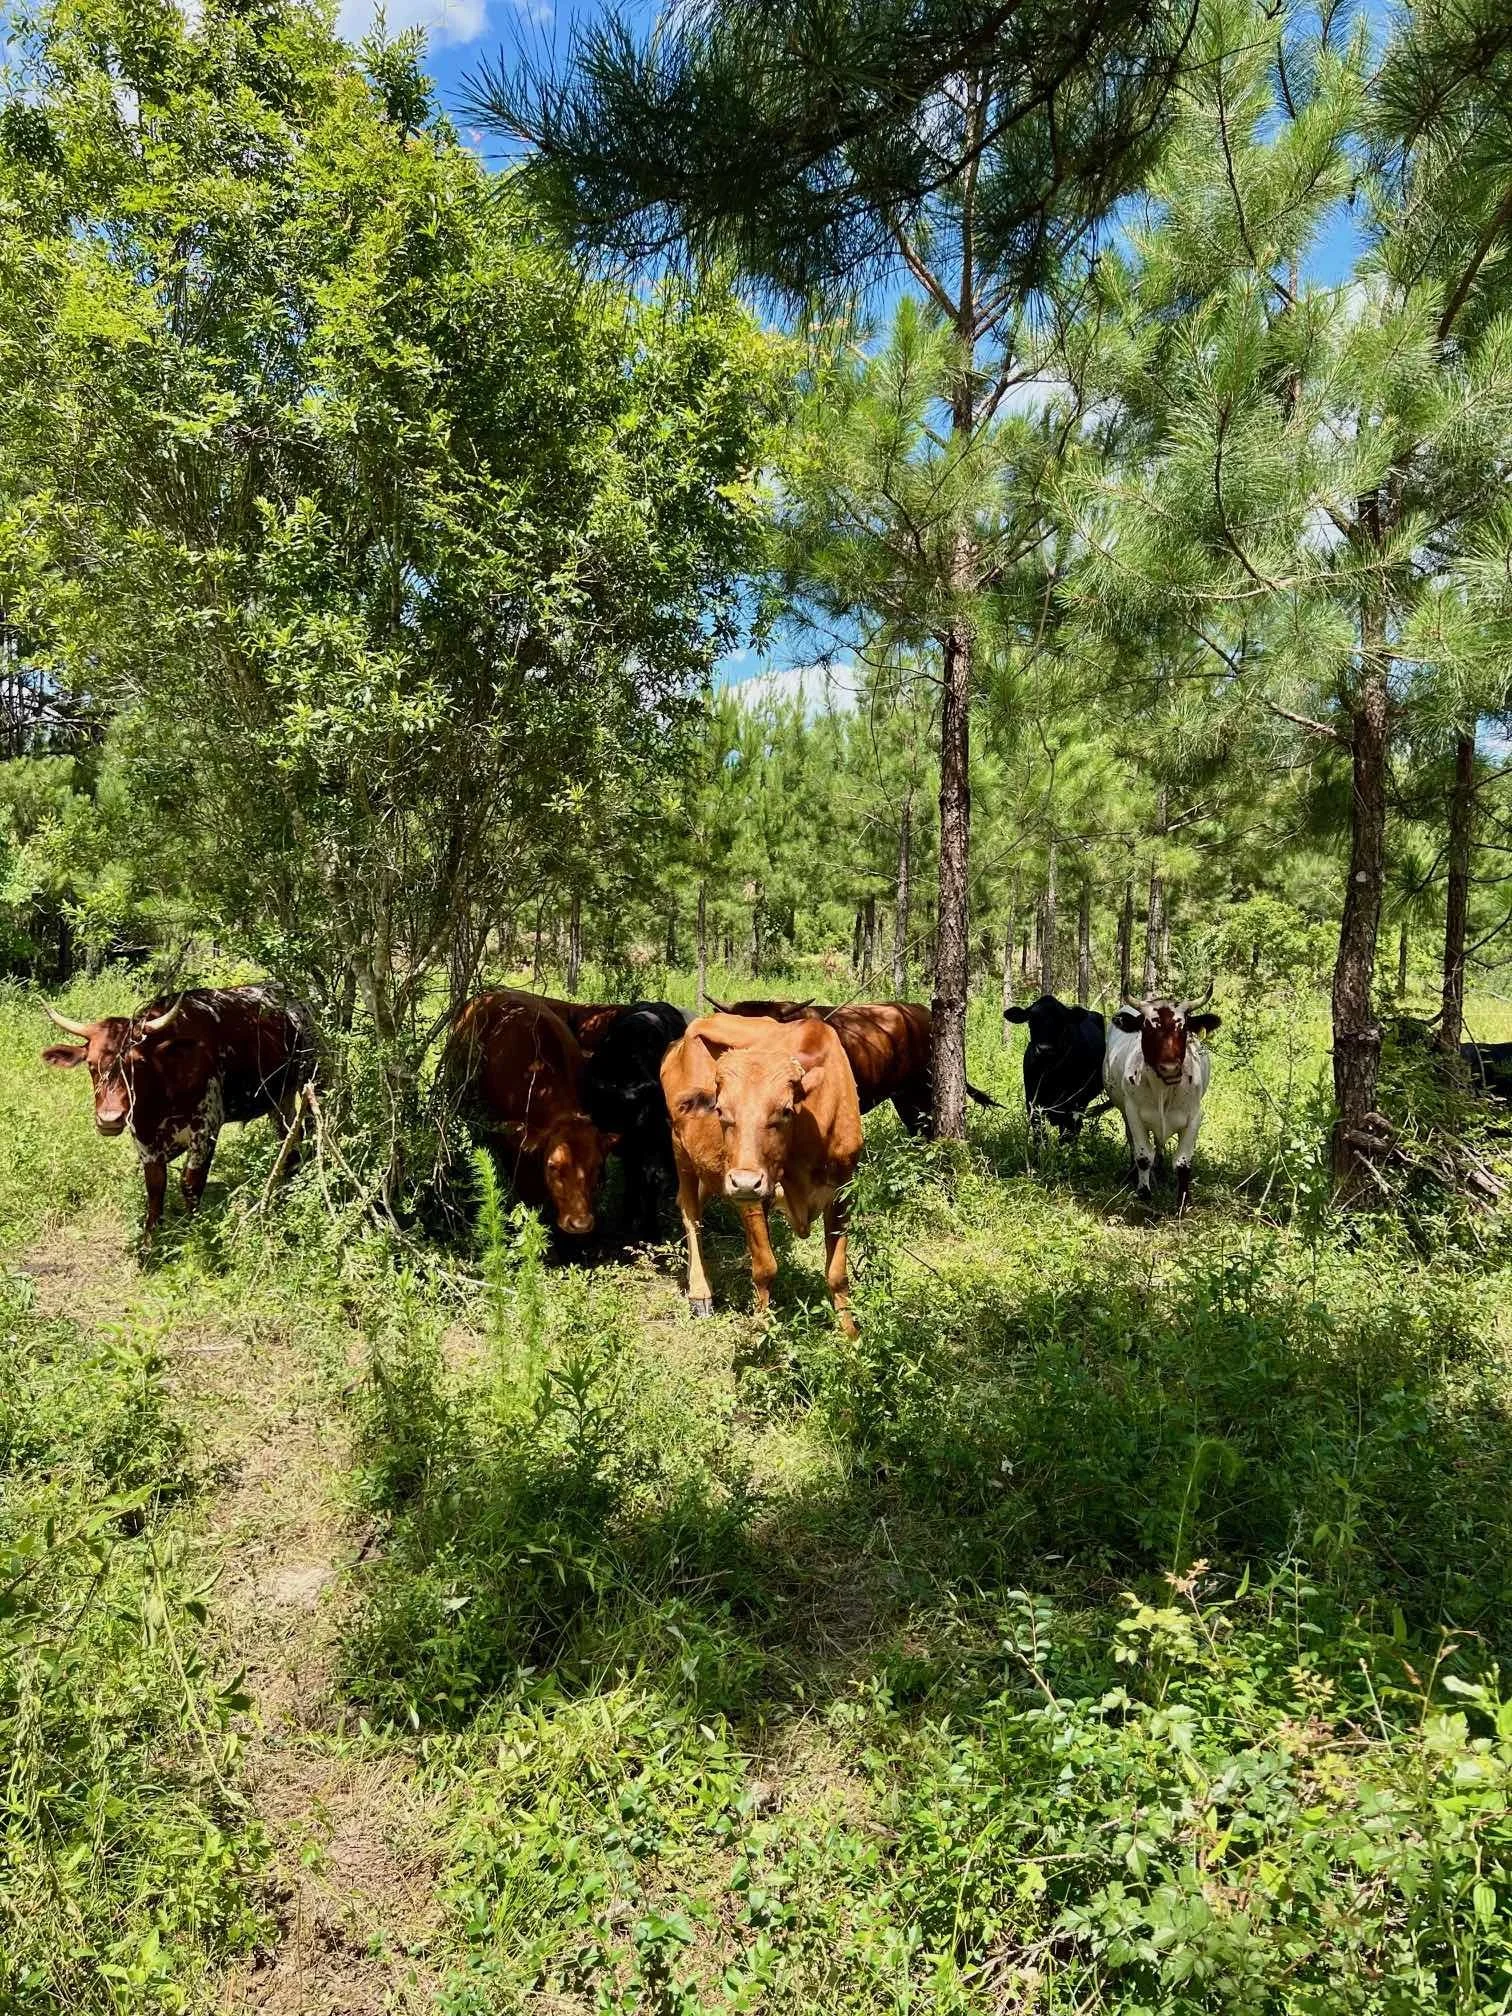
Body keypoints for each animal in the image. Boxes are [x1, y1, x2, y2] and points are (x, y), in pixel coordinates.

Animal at [41, 985, 314, 1233]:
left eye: (138, 1062)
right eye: (90, 1064)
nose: (109, 1119)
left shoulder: (206, 1129)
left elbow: (190, 1185)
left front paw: (196, 1232)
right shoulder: (145, 1140)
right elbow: (155, 1190)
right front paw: (149, 1243)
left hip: (312, 1082)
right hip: (280, 1097)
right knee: (289, 1136)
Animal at [660, 1013, 863, 1334]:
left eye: (785, 1110)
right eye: (720, 1110)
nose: (744, 1181)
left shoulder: (843, 1189)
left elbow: (837, 1272)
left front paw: (850, 1334)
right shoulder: (751, 1197)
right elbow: (765, 1267)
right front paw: (761, 1331)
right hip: (681, 1148)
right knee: (690, 1212)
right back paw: (700, 1290)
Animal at [1003, 994, 1107, 1141]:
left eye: (1061, 1020)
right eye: (1031, 1019)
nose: (1045, 1049)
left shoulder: (1072, 1105)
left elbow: (1066, 1136)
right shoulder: (1032, 1102)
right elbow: (1040, 1135)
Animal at [1104, 995, 1222, 1211]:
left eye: (1183, 1028)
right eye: (1147, 1028)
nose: (1170, 1068)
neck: (1163, 1090)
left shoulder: (1195, 1117)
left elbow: (1183, 1163)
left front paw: (1183, 1201)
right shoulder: (1133, 1114)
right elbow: (1143, 1157)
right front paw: (1144, 1193)